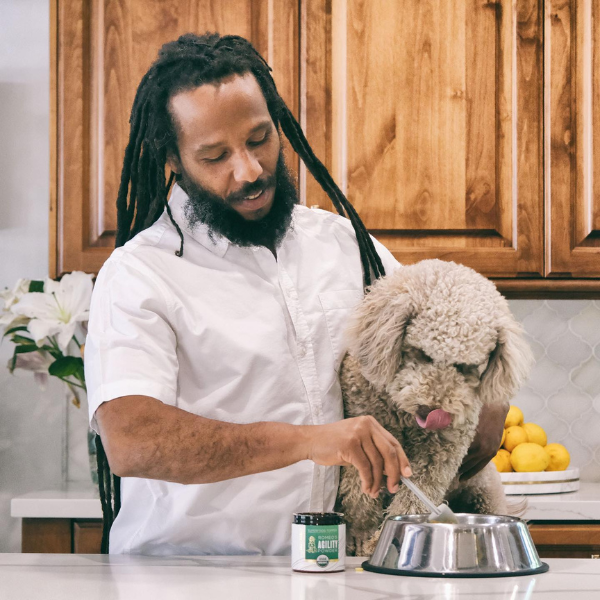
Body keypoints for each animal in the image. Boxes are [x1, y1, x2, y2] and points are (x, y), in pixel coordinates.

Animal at [335, 259, 532, 556]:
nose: (434, 413)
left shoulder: (438, 454)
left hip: (486, 490)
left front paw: (380, 540)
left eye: (464, 367)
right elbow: (358, 490)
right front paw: (360, 533)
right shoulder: (362, 429)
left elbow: (414, 498)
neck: (402, 417)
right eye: (423, 354)